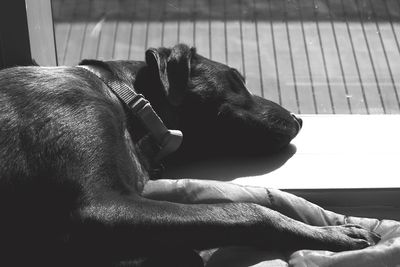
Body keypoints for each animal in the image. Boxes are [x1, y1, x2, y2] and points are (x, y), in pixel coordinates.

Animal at [0, 45, 380, 266]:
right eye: (236, 80)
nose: (299, 120)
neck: (124, 98)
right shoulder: (99, 207)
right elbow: (247, 211)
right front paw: (334, 234)